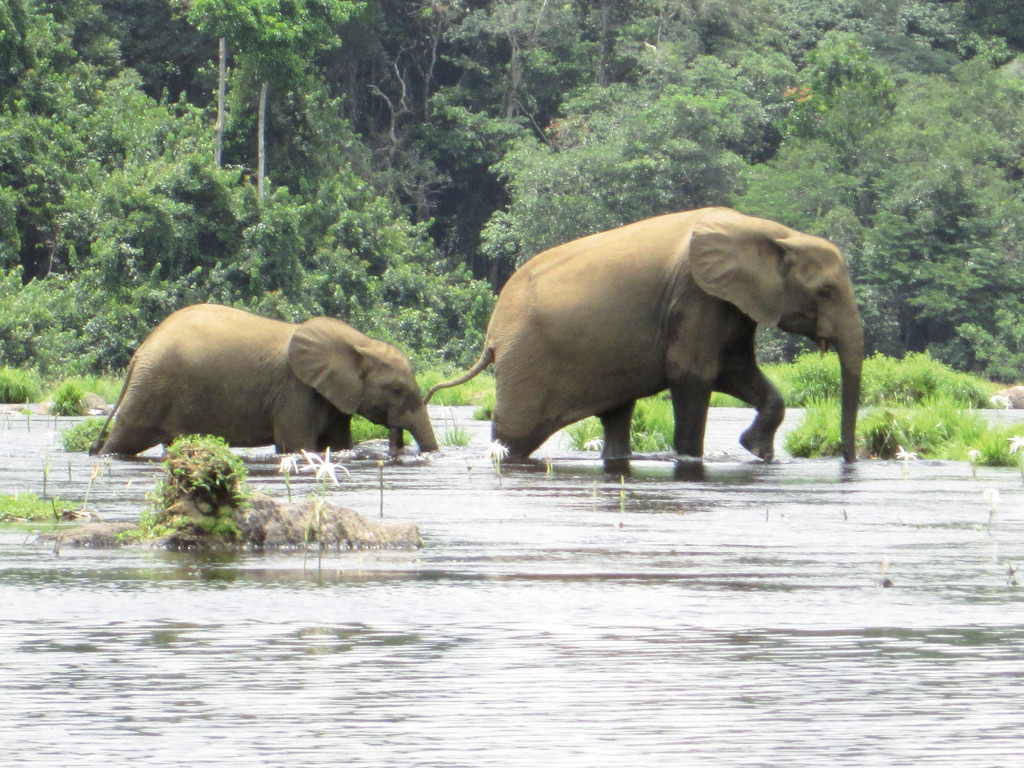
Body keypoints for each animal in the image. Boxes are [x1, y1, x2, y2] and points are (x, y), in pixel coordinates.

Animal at [91, 303, 436, 456]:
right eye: (396, 390)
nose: (399, 444)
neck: (360, 342)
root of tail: (141, 351)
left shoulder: (334, 396)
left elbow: (337, 445)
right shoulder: (296, 392)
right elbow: (297, 446)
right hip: (152, 387)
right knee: (125, 439)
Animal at [425, 204, 864, 466]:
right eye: (826, 292)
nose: (849, 462)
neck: (772, 231)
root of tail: (493, 333)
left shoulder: (731, 304)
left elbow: (735, 372)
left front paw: (758, 451)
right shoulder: (696, 296)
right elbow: (693, 375)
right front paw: (694, 460)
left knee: (616, 416)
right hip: (527, 363)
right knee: (514, 436)